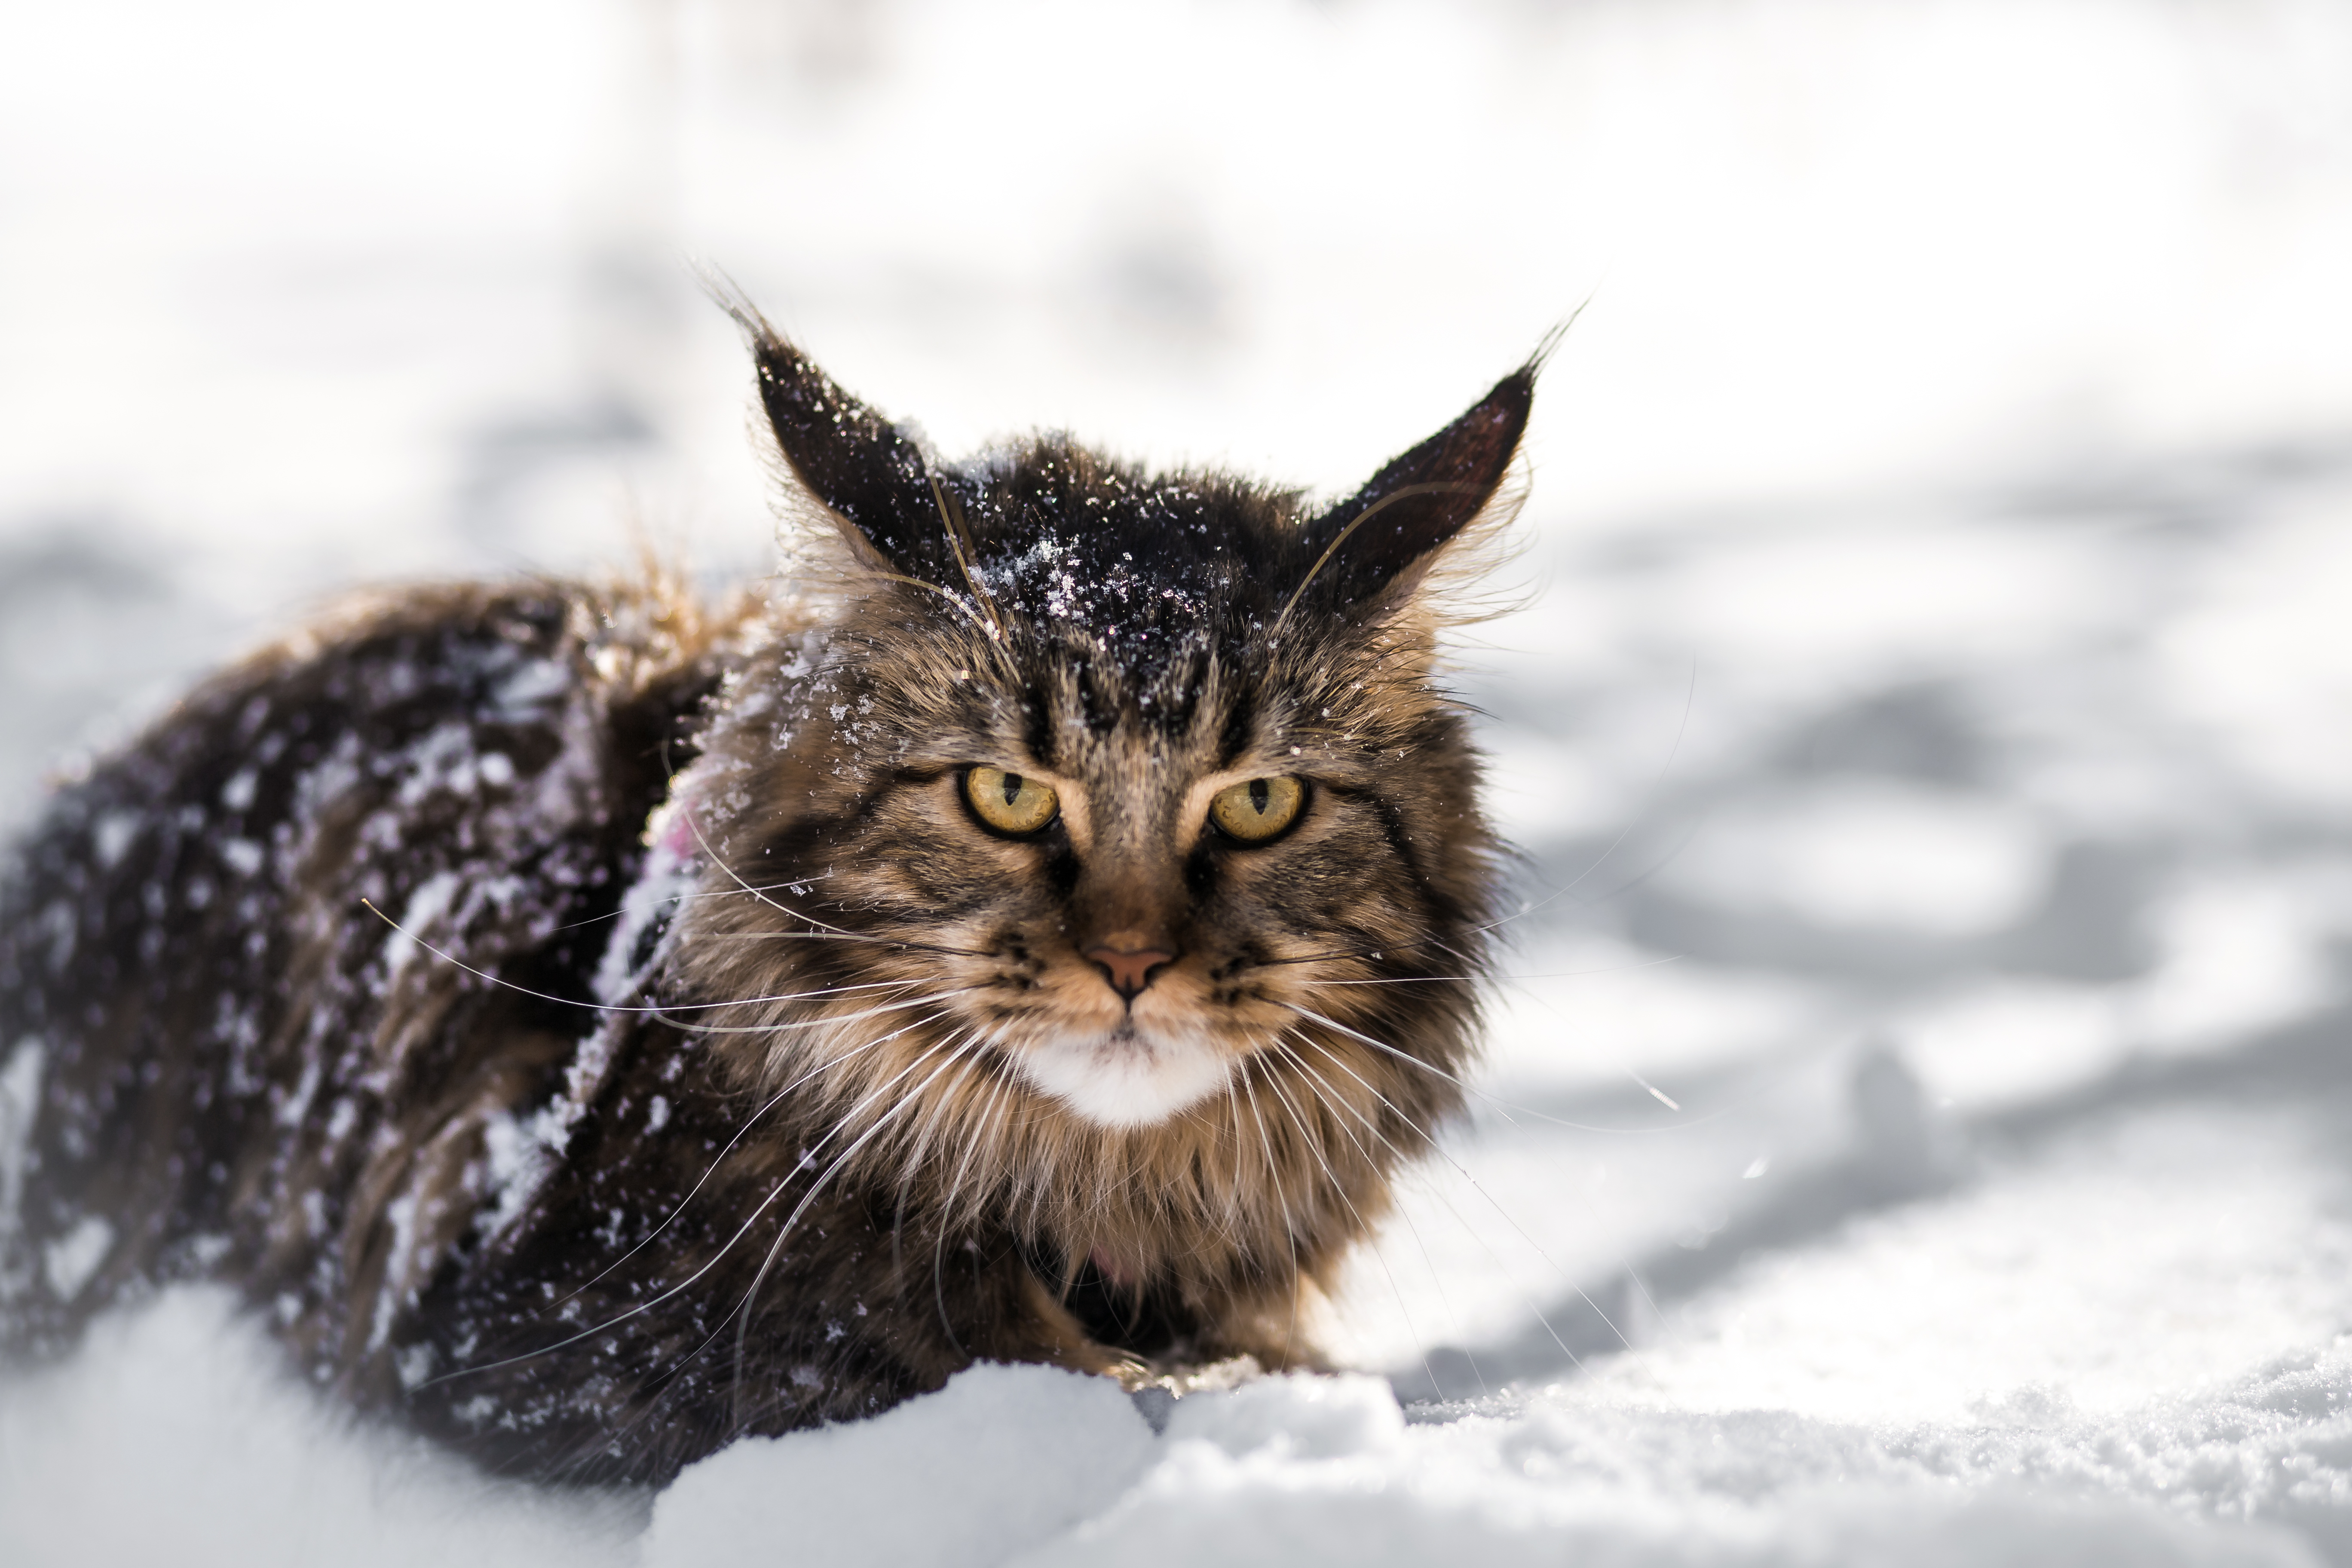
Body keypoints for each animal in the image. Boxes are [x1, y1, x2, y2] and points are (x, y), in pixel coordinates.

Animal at [0, 303, 1533, 1485]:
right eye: (1007, 794)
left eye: (1261, 805)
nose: (1132, 961)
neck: (1093, 1199)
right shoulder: (546, 1316)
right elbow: (1020, 1368)